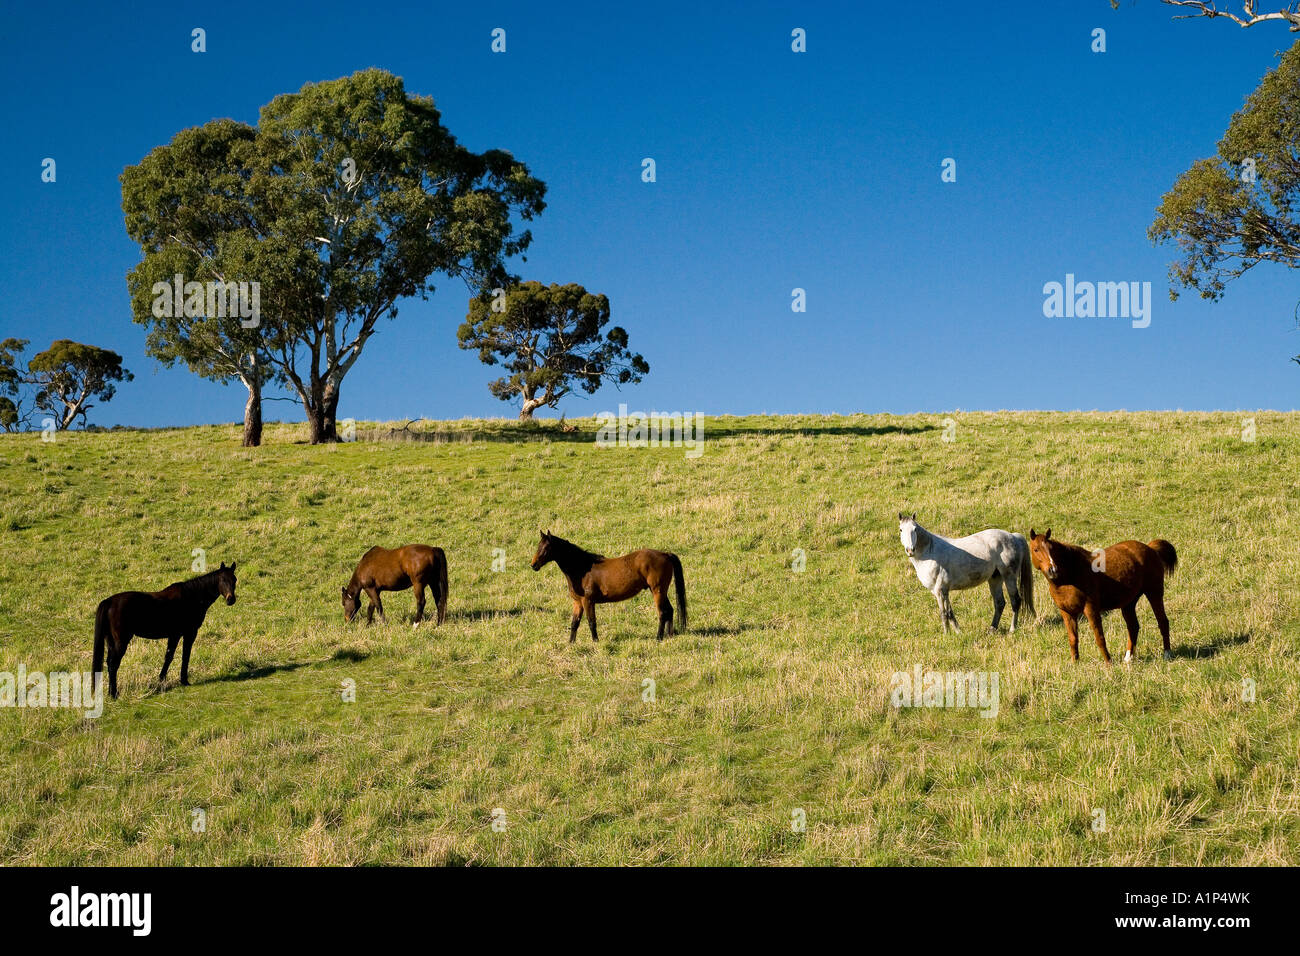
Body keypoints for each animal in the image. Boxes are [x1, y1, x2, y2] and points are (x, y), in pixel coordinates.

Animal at [92, 561, 238, 700]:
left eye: (234, 579)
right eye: (222, 579)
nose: (231, 599)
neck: (192, 596)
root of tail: (109, 602)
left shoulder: (174, 635)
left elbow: (169, 656)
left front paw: (161, 680)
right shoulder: (188, 633)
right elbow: (184, 655)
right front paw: (183, 680)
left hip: (111, 641)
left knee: (109, 663)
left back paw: (111, 692)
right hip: (121, 641)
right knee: (113, 664)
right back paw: (114, 694)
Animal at [530, 531, 687, 641]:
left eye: (547, 547)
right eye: (538, 546)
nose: (533, 565)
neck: (582, 568)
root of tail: (665, 554)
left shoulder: (588, 601)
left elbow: (591, 622)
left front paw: (595, 642)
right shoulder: (578, 602)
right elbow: (574, 623)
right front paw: (571, 643)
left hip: (657, 591)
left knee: (662, 613)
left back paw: (658, 637)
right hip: (661, 591)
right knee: (670, 610)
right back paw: (669, 635)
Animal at [898, 513, 1035, 634]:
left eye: (915, 529)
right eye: (901, 530)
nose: (910, 550)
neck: (930, 552)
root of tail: (1013, 536)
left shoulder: (939, 590)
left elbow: (944, 613)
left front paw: (946, 635)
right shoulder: (942, 591)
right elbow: (950, 612)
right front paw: (958, 632)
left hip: (1009, 576)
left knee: (1015, 601)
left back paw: (1012, 629)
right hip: (995, 578)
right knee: (1000, 603)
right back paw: (992, 629)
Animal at [1028, 529, 1177, 663]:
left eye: (1052, 550)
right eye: (1036, 549)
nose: (1053, 570)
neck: (1070, 576)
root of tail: (1150, 548)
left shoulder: (1091, 609)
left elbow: (1099, 637)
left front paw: (1108, 662)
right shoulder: (1066, 613)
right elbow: (1073, 639)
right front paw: (1075, 663)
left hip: (1154, 593)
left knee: (1163, 621)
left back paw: (1167, 654)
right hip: (1128, 603)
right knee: (1133, 627)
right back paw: (1128, 658)